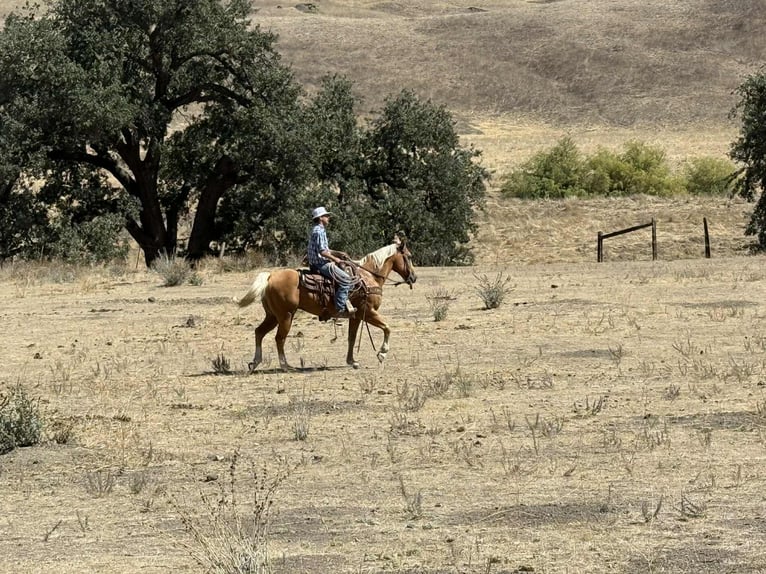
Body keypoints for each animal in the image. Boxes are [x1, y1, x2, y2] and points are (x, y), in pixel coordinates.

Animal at [236, 237, 417, 371]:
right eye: (408, 256)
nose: (414, 277)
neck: (368, 277)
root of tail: (270, 276)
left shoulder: (356, 316)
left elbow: (351, 337)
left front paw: (352, 361)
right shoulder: (368, 312)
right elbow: (387, 328)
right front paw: (382, 354)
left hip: (273, 316)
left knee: (259, 332)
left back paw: (255, 362)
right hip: (285, 316)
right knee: (279, 338)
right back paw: (286, 366)